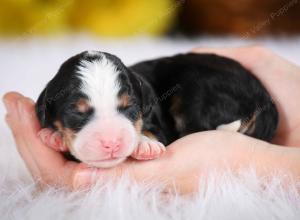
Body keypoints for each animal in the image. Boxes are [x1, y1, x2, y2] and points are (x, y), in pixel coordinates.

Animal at [35, 50, 278, 168]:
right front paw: (54, 136)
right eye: (77, 112)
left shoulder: (157, 122)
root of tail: (265, 100)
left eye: (129, 107)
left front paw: (145, 144)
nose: (112, 143)